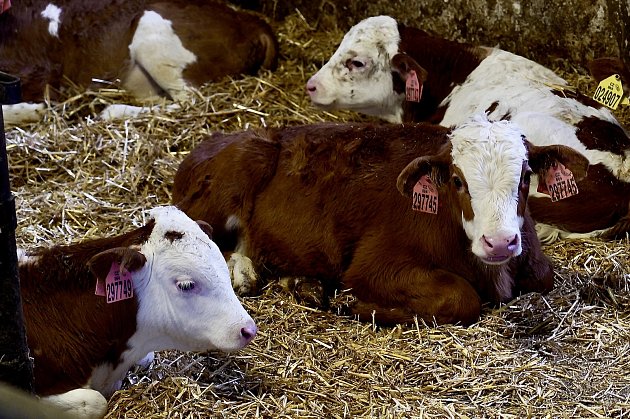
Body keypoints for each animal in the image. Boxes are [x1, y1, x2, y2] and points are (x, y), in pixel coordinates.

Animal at [174, 115, 592, 328]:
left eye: (525, 177)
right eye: (457, 180)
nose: (501, 242)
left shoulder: (535, 263)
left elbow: (544, 277)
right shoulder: (374, 265)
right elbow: (461, 297)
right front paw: (355, 304)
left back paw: (298, 281)